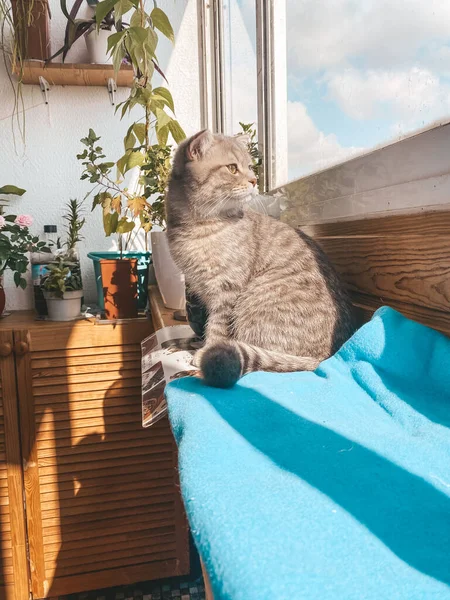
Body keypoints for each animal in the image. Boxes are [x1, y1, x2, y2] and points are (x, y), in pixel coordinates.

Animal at [165, 129, 356, 386]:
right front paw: (197, 343)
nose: (254, 180)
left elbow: (217, 326)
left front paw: (206, 350)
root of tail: (327, 358)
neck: (200, 227)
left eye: (249, 166)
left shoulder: (226, 290)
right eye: (232, 168)